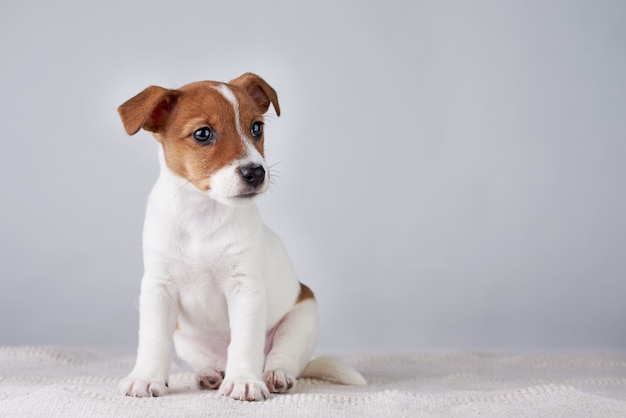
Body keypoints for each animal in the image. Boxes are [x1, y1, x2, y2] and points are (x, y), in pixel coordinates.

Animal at [116, 72, 366, 402]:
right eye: (203, 134)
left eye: (256, 128)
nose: (255, 173)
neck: (203, 215)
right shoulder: (158, 288)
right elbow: (153, 340)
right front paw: (145, 378)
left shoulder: (245, 289)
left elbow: (244, 343)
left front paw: (244, 381)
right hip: (184, 336)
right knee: (208, 359)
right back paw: (210, 373)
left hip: (302, 318)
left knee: (282, 358)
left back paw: (274, 375)